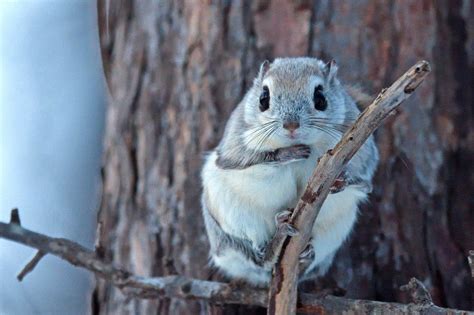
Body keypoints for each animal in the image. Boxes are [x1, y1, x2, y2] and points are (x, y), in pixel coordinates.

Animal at [202, 56, 380, 286]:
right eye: (263, 98)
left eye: (320, 98)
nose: (291, 125)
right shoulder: (234, 143)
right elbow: (242, 161)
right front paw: (286, 154)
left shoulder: (364, 152)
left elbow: (366, 183)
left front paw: (344, 180)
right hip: (231, 222)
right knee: (256, 258)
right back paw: (276, 239)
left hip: (336, 229)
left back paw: (307, 255)